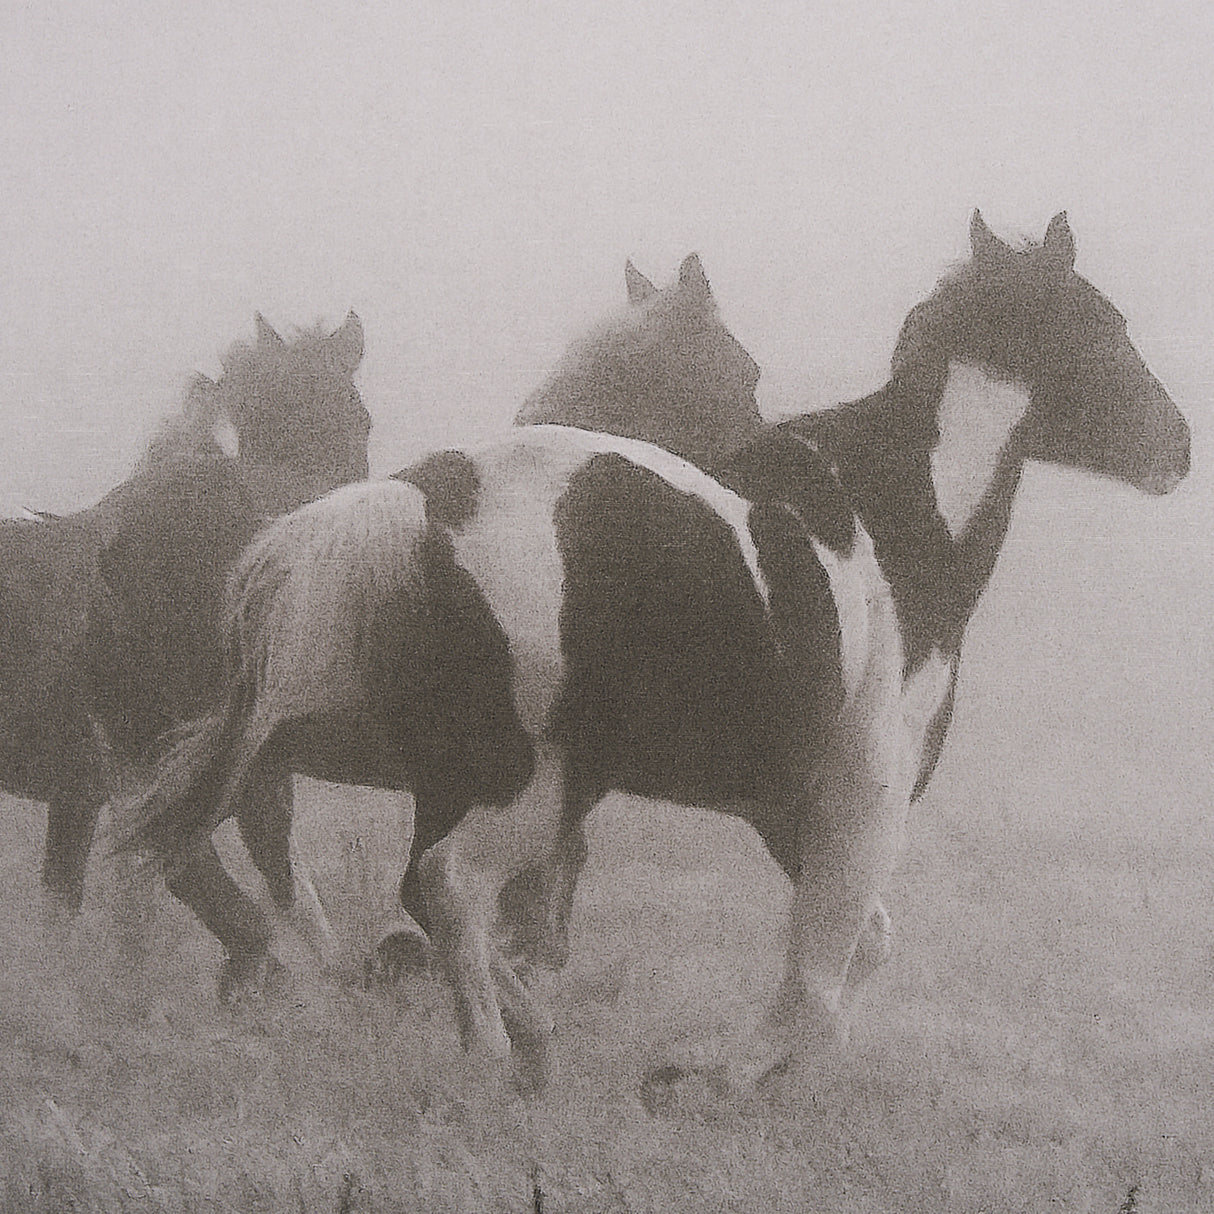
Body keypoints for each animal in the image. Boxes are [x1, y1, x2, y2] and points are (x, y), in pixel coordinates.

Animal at [126, 214, 1189, 1093]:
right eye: (1107, 328)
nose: (1177, 448)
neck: (900, 531)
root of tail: (426, 494)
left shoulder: (788, 806)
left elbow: (861, 946)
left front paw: (776, 1073)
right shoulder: (866, 796)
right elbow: (823, 963)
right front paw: (721, 1075)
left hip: (467, 773)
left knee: (418, 890)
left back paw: (514, 1033)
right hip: (527, 782)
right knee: (448, 886)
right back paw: (497, 1055)